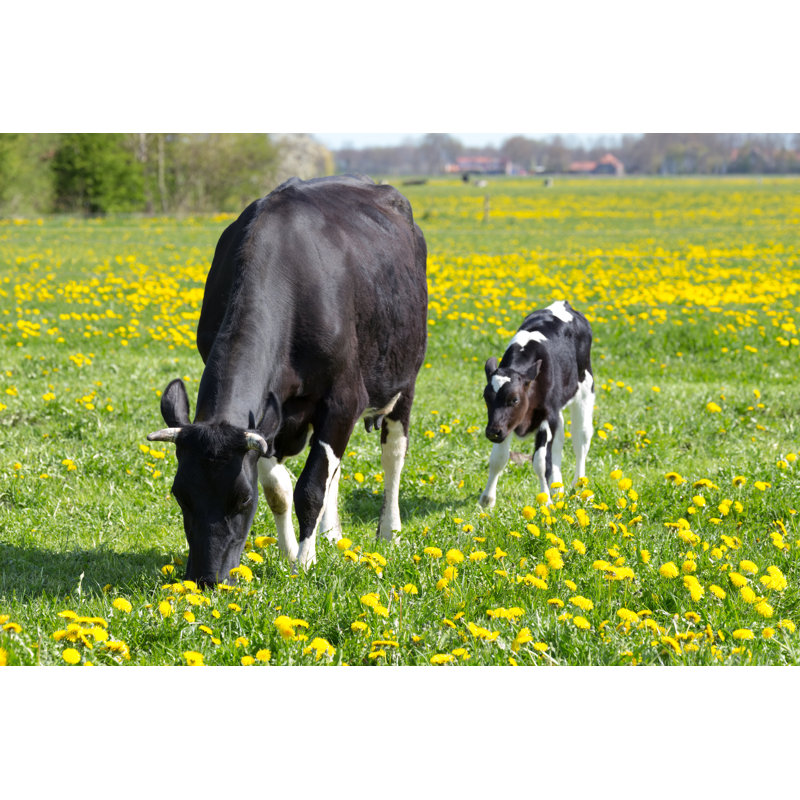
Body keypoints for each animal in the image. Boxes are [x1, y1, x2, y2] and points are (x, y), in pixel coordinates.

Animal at [147, 175, 428, 586]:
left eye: (242, 499)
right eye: (180, 495)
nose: (206, 578)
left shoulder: (344, 398)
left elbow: (309, 487)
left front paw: (304, 563)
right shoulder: (271, 417)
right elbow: (280, 487)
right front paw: (290, 550)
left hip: (403, 380)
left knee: (393, 454)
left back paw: (389, 531)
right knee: (335, 471)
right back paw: (332, 534)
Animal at [478, 300, 594, 508]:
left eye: (514, 399)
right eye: (486, 397)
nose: (491, 432)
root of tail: (563, 303)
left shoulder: (546, 418)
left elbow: (540, 462)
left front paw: (545, 500)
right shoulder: (505, 424)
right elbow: (498, 459)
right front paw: (487, 500)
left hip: (585, 388)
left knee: (581, 439)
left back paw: (580, 488)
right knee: (559, 443)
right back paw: (558, 489)